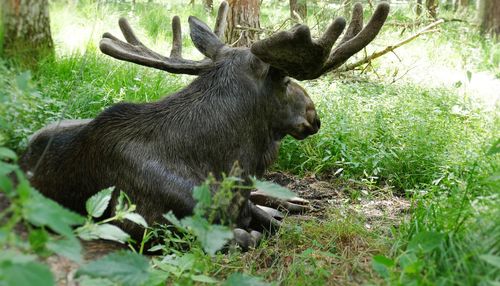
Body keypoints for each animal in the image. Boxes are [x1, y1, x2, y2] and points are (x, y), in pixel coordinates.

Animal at [20, 1, 390, 249]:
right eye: (285, 80)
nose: (315, 117)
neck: (219, 167)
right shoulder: (147, 225)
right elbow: (246, 236)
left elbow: (271, 221)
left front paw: (281, 210)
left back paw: (294, 201)